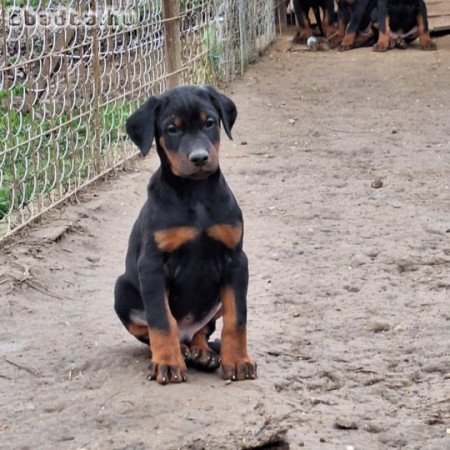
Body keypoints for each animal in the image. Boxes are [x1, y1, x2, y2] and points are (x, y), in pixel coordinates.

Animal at [114, 86, 256, 384]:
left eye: (210, 122)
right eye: (172, 129)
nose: (199, 158)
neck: (195, 194)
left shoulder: (237, 262)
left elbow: (237, 318)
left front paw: (238, 361)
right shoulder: (152, 266)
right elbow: (161, 320)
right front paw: (168, 364)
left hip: (216, 302)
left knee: (202, 330)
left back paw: (202, 352)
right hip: (120, 290)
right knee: (154, 333)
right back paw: (180, 352)